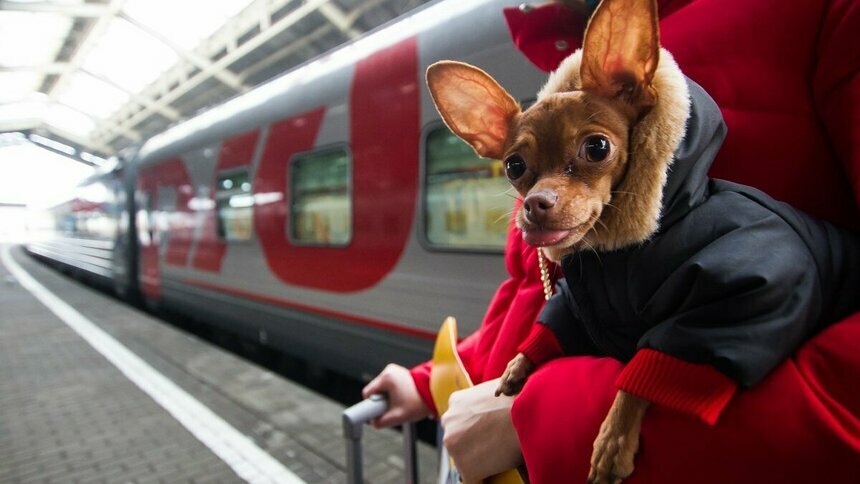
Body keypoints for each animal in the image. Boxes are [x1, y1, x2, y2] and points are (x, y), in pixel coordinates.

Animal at [430, 0, 664, 482]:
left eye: (597, 148)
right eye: (514, 166)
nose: (535, 204)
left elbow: (639, 374)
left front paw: (613, 441)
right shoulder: (571, 304)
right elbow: (549, 330)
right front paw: (519, 364)